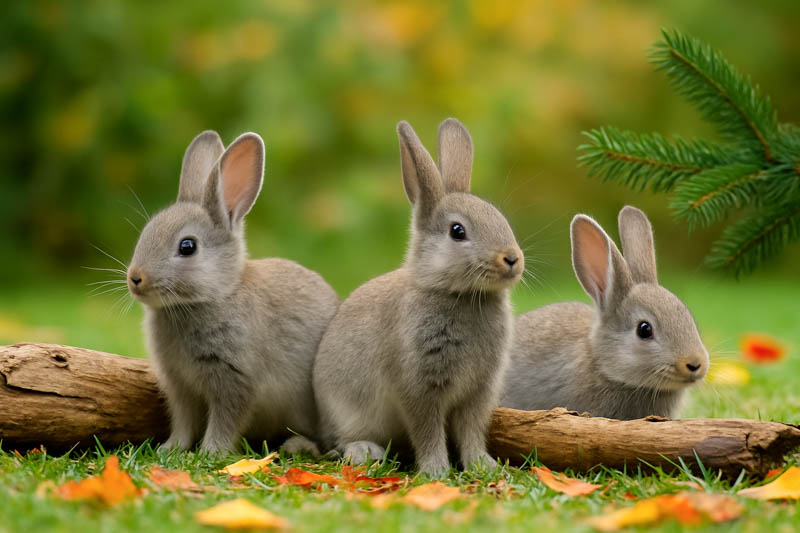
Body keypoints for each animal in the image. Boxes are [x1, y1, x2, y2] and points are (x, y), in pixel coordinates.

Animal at [126, 130, 339, 454]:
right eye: (146, 232)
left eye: (187, 246)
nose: (135, 278)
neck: (214, 296)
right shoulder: (179, 386)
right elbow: (184, 420)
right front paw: (171, 448)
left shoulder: (235, 380)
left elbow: (226, 419)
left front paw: (211, 452)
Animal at [312, 118, 524, 476]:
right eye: (457, 231)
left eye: (500, 219)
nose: (512, 258)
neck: (456, 294)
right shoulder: (418, 386)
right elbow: (427, 430)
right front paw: (437, 471)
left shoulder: (479, 392)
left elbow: (471, 430)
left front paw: (484, 466)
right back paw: (364, 450)